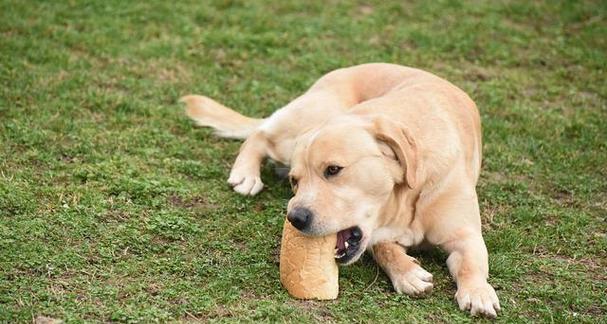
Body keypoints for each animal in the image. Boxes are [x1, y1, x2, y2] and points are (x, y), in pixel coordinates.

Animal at [183, 62, 502, 316]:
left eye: (333, 170)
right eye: (296, 182)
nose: (294, 218)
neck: (407, 198)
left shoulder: (465, 235)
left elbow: (471, 264)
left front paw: (477, 291)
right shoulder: (376, 235)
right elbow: (385, 249)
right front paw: (408, 272)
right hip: (302, 127)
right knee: (260, 135)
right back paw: (245, 174)